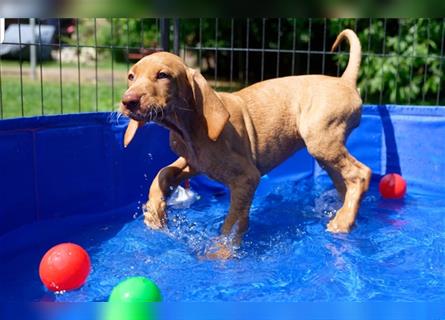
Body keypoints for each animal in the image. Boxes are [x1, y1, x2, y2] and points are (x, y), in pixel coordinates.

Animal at [119, 30, 372, 258]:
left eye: (163, 75)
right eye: (131, 77)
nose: (127, 101)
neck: (186, 128)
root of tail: (345, 81)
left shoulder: (247, 177)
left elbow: (231, 224)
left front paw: (221, 252)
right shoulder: (196, 162)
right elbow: (163, 172)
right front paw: (155, 211)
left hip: (320, 140)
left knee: (361, 173)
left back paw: (342, 222)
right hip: (326, 152)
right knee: (345, 183)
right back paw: (346, 214)